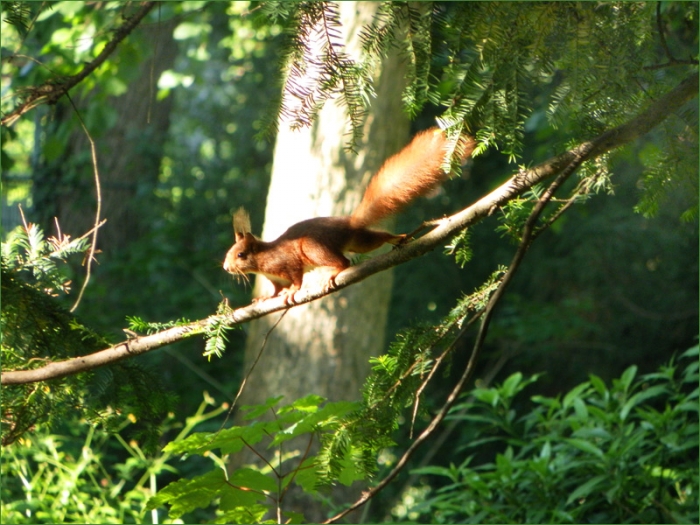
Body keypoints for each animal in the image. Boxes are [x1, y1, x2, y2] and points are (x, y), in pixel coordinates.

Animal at [224, 127, 476, 303]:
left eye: (241, 255)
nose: (226, 268)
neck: (263, 261)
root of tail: (349, 223)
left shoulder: (287, 264)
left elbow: (296, 280)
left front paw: (292, 292)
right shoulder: (275, 279)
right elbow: (275, 290)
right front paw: (266, 298)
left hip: (313, 247)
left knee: (343, 261)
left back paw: (337, 271)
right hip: (359, 242)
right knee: (375, 238)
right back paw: (398, 238)